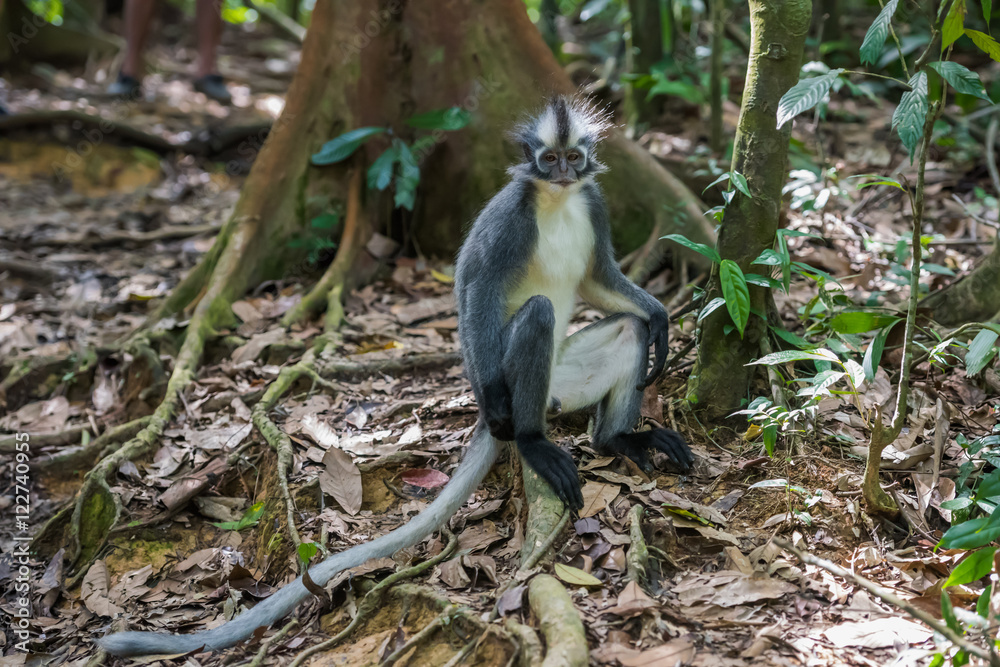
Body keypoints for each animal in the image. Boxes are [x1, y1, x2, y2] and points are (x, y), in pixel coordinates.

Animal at [99, 95, 696, 656]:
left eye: (573, 157)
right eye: (548, 159)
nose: (566, 171)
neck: (558, 200)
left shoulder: (592, 204)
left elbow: (600, 279)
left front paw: (661, 317)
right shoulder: (510, 214)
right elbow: (478, 288)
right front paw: (504, 407)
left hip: (564, 379)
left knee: (628, 330)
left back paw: (617, 437)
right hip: (518, 376)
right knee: (539, 316)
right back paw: (528, 437)